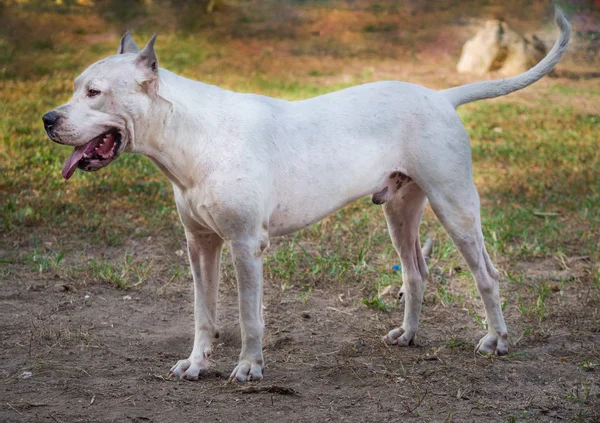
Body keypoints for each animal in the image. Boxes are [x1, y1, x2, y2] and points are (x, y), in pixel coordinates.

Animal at [44, 8, 568, 382]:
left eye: (94, 93)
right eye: (74, 88)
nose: (49, 119)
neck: (192, 136)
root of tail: (442, 96)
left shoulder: (245, 246)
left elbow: (248, 315)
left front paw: (248, 367)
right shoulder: (200, 245)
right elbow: (203, 312)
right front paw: (196, 363)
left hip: (455, 207)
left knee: (487, 276)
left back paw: (497, 340)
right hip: (400, 211)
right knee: (416, 273)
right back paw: (408, 334)